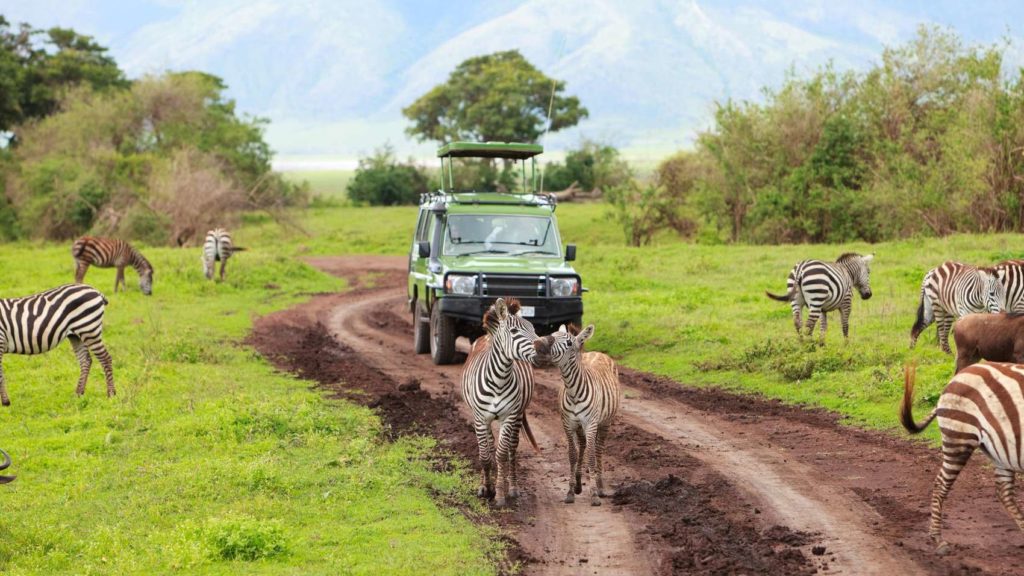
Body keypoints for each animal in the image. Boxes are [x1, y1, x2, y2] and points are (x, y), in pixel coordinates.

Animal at [462, 297, 540, 504]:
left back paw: (511, 487)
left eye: (533, 328)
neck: (499, 379)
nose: (544, 347)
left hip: (518, 415)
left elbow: (502, 454)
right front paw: (486, 488)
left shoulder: (509, 416)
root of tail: (487, 336)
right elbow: (485, 455)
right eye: (514, 332)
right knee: (488, 446)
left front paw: (499, 494)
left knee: (512, 449)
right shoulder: (480, 418)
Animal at [532, 325, 618, 504]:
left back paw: (600, 487)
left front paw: (594, 494)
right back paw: (579, 484)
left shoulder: (591, 424)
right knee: (583, 445)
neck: (573, 391)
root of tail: (598, 353)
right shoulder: (568, 424)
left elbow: (591, 457)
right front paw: (571, 491)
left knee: (598, 449)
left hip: (605, 422)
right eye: (552, 334)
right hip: (580, 426)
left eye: (569, 342)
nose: (538, 343)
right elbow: (572, 455)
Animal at [901, 362, 1024, 553]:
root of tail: (958, 376)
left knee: (1004, 492)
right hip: (959, 437)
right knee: (940, 484)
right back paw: (938, 540)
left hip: (1002, 453)